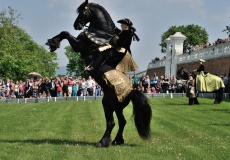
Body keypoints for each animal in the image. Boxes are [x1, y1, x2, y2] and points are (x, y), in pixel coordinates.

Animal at [45, 0, 152, 148]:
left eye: (82, 12)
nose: (76, 25)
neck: (100, 32)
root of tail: (131, 91)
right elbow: (65, 33)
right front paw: (52, 43)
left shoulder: (78, 46)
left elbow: (65, 33)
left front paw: (53, 43)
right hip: (117, 107)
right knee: (122, 121)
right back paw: (117, 140)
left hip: (107, 104)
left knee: (111, 123)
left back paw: (102, 142)